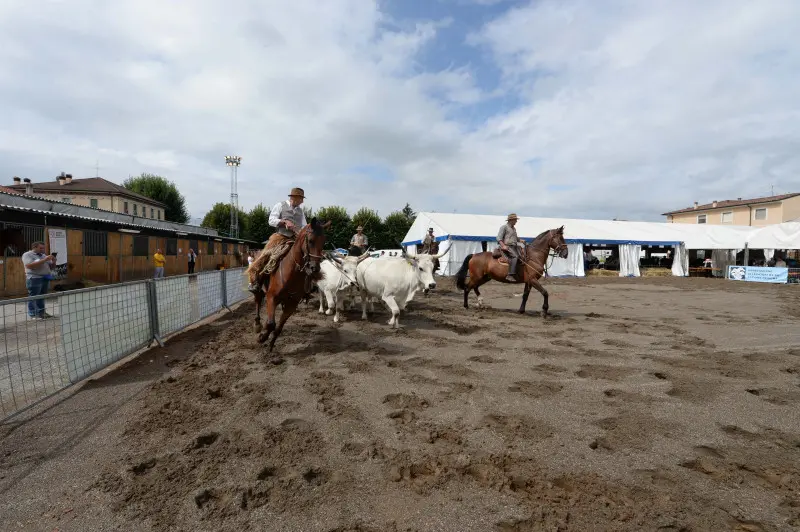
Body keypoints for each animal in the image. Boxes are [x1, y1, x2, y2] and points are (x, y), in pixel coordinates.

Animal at [256, 218, 332, 352]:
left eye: (323, 242)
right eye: (310, 240)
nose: (315, 268)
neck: (291, 273)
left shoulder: (291, 304)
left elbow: (278, 328)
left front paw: (270, 346)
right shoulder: (271, 297)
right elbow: (271, 323)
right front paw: (262, 337)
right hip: (260, 289)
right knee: (258, 301)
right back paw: (257, 324)